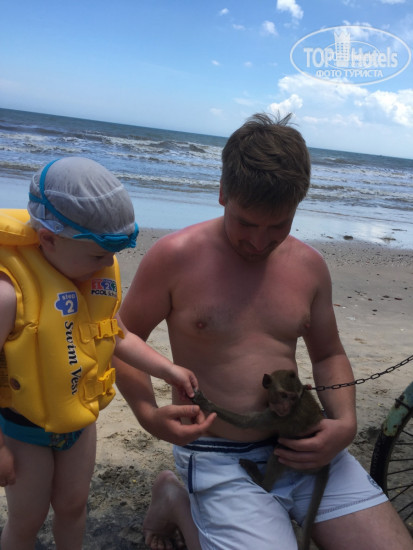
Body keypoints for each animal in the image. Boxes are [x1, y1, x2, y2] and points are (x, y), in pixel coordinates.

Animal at [192, 369, 329, 550]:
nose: (286, 407)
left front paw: (206, 404)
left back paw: (262, 482)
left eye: (292, 398)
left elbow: (246, 423)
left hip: (303, 461)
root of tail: (325, 463)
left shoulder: (277, 417)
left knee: (280, 453)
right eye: (283, 395)